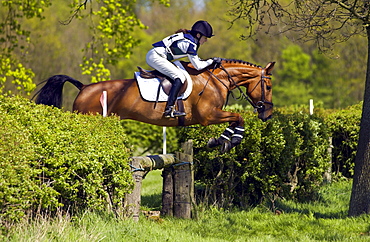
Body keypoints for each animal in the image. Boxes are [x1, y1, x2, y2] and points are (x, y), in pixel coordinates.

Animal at [34, 58, 276, 153]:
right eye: (269, 86)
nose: (268, 114)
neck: (215, 79)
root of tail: (84, 87)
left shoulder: (211, 115)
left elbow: (236, 119)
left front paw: (223, 141)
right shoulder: (208, 116)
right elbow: (238, 117)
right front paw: (225, 141)